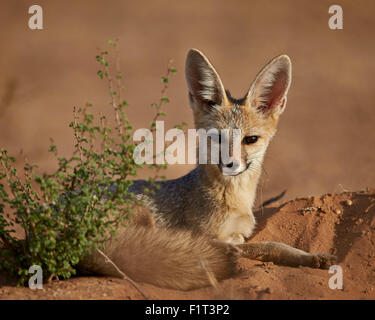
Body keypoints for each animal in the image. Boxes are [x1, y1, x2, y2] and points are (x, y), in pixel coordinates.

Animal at [78, 49, 336, 290]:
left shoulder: (240, 232)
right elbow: (262, 245)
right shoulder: (210, 234)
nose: (231, 164)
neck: (234, 199)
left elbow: (275, 244)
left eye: (250, 139)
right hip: (142, 216)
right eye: (218, 137)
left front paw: (310, 257)